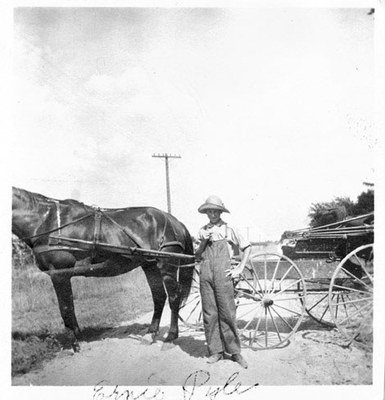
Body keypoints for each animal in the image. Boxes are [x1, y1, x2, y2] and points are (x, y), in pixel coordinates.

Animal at [12, 187, 195, 350]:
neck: (46, 221)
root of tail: (174, 221)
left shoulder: (58, 273)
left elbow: (65, 308)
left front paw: (75, 344)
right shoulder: (62, 275)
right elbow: (70, 306)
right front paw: (79, 336)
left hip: (167, 266)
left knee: (174, 297)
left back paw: (171, 335)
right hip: (149, 265)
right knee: (159, 297)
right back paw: (151, 333)